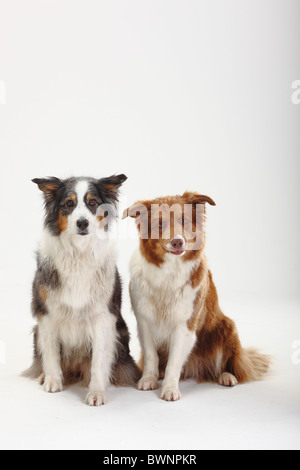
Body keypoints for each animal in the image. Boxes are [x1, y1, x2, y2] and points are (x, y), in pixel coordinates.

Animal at [123, 191, 270, 400]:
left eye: (184, 220)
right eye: (159, 224)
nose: (177, 241)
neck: (169, 272)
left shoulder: (186, 323)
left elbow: (174, 361)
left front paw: (170, 389)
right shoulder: (144, 320)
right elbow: (151, 356)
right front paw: (148, 379)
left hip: (227, 328)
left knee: (230, 365)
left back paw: (227, 376)